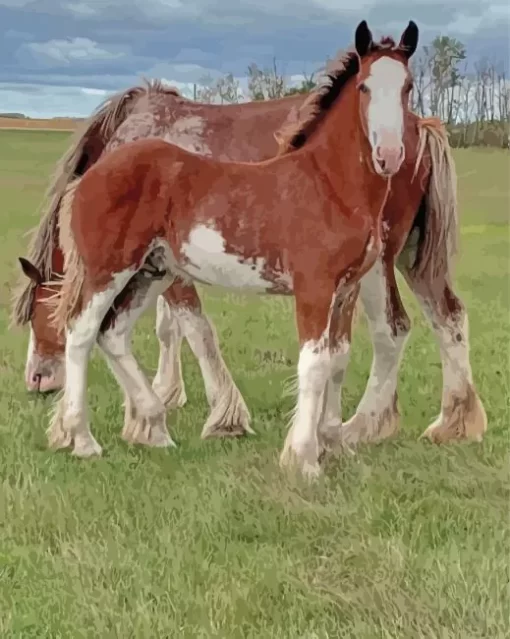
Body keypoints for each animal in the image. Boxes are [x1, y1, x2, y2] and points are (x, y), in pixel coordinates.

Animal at [12, 22, 486, 458]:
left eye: (408, 87)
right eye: (365, 87)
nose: (37, 379)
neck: (324, 179)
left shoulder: (333, 286)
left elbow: (319, 355)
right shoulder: (301, 286)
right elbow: (195, 332)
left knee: (405, 326)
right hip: (124, 270)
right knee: (87, 332)